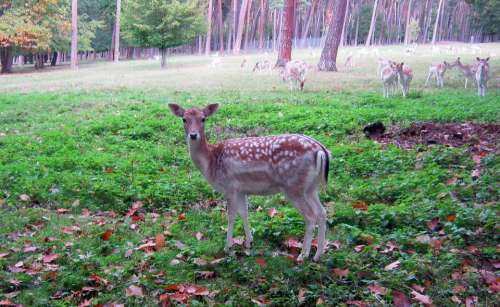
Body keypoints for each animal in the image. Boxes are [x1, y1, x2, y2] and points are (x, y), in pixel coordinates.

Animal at [170, 104, 330, 262]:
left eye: (203, 118)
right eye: (184, 119)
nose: (193, 135)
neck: (211, 162)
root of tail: (321, 151)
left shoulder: (230, 187)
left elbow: (231, 216)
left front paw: (228, 247)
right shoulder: (241, 189)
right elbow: (244, 213)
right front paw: (249, 242)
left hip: (293, 186)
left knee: (310, 216)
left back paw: (303, 255)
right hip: (311, 187)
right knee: (321, 212)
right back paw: (318, 255)